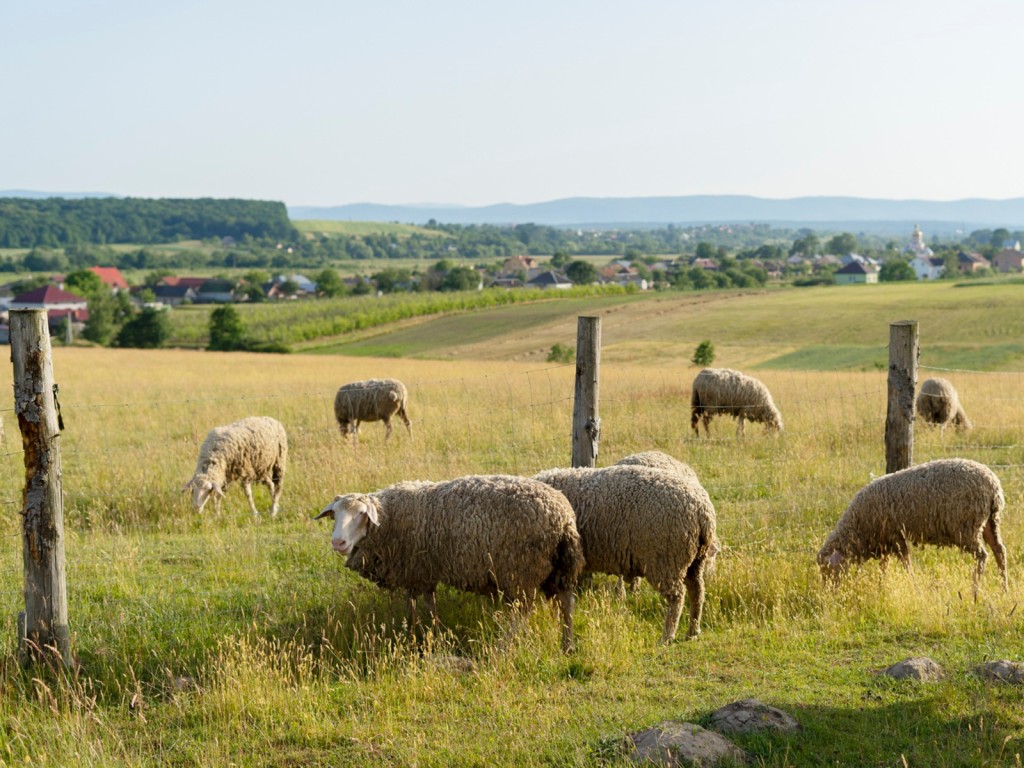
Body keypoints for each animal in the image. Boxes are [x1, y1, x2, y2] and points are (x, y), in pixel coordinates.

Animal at [311, 479, 585, 651]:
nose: (338, 542)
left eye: (361, 514)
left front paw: (417, 633)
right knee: (567, 603)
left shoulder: (416, 570)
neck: (389, 518)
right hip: (559, 568)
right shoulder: (422, 571)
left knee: (523, 611)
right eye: (335, 515)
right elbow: (424, 604)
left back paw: (504, 646)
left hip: (521, 569)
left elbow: (419, 604)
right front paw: (427, 630)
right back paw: (567, 645)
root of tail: (563, 518)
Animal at [532, 462, 716, 643]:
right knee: (697, 591)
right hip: (694, 560)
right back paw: (693, 631)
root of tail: (702, 511)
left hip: (666, 560)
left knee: (677, 597)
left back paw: (667, 636)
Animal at [815, 456, 1007, 602]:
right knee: (999, 550)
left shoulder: (896, 537)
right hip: (990, 522)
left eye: (828, 570)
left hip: (966, 528)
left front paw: (913, 588)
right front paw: (882, 587)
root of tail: (993, 485)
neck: (858, 528)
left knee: (982, 555)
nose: (827, 593)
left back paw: (974, 592)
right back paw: (1003, 589)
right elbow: (884, 566)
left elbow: (906, 564)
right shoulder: (885, 542)